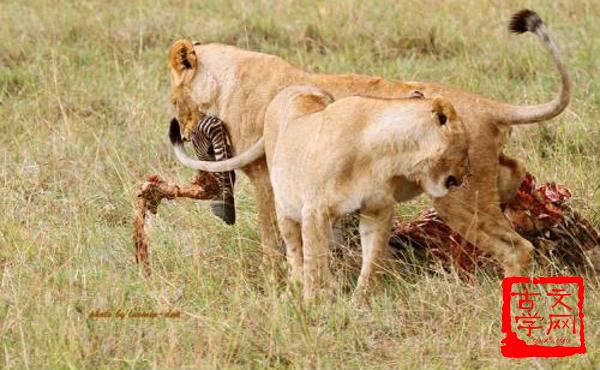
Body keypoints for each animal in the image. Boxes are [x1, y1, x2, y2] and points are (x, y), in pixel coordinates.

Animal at [166, 8, 568, 276]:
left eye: (173, 101)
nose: (181, 132)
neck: (226, 80)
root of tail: (490, 106)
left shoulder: (267, 176)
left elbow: (270, 231)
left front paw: (272, 274)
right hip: (485, 178)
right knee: (514, 173)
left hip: (458, 199)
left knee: (516, 249)